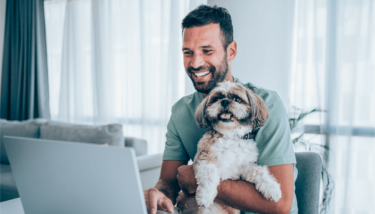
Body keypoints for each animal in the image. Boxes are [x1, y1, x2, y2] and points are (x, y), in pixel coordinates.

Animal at [177, 81, 282, 214]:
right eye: (217, 99)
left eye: (237, 99)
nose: (225, 101)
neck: (230, 136)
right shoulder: (205, 157)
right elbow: (209, 175)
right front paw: (205, 195)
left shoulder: (244, 166)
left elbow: (259, 171)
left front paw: (272, 188)